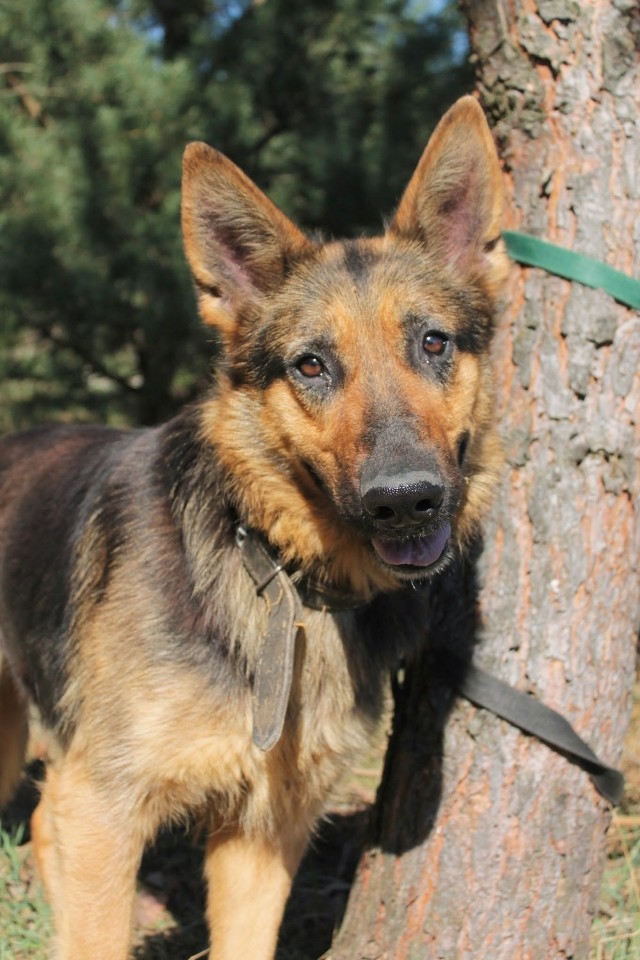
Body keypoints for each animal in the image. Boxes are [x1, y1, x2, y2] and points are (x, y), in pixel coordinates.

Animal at [0, 92, 508, 960]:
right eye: (311, 365)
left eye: (433, 342)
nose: (406, 500)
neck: (271, 568)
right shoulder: (102, 806)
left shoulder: (264, 834)